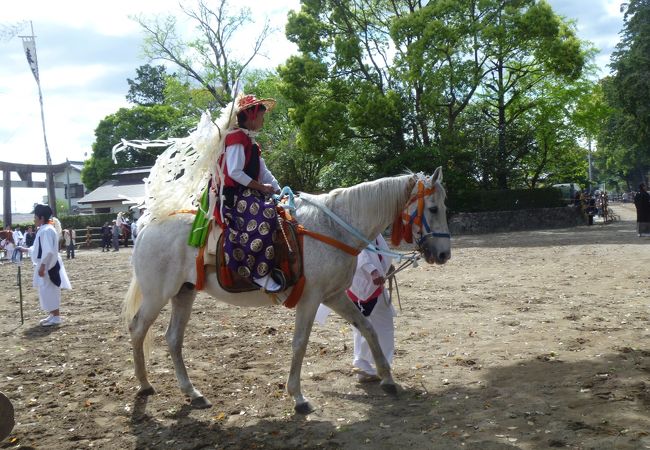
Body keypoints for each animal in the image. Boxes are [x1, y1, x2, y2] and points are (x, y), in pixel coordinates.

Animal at [121, 168, 448, 412]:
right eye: (433, 208)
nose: (444, 254)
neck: (334, 228)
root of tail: (148, 226)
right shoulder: (311, 299)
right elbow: (300, 343)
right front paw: (299, 397)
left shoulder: (334, 296)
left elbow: (368, 328)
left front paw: (388, 379)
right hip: (157, 295)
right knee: (137, 329)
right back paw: (144, 384)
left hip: (184, 293)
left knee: (173, 339)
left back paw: (192, 392)